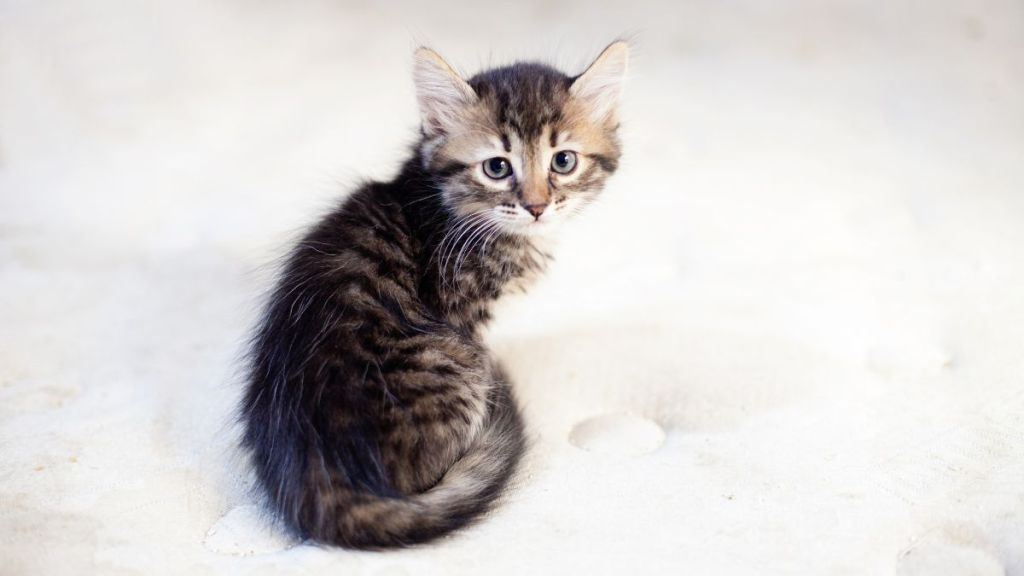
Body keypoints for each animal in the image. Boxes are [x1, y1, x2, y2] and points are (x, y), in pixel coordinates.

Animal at [241, 41, 622, 545]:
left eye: (563, 161)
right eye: (497, 167)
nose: (537, 207)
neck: (444, 202)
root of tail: (317, 475)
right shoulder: (466, 318)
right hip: (457, 361)